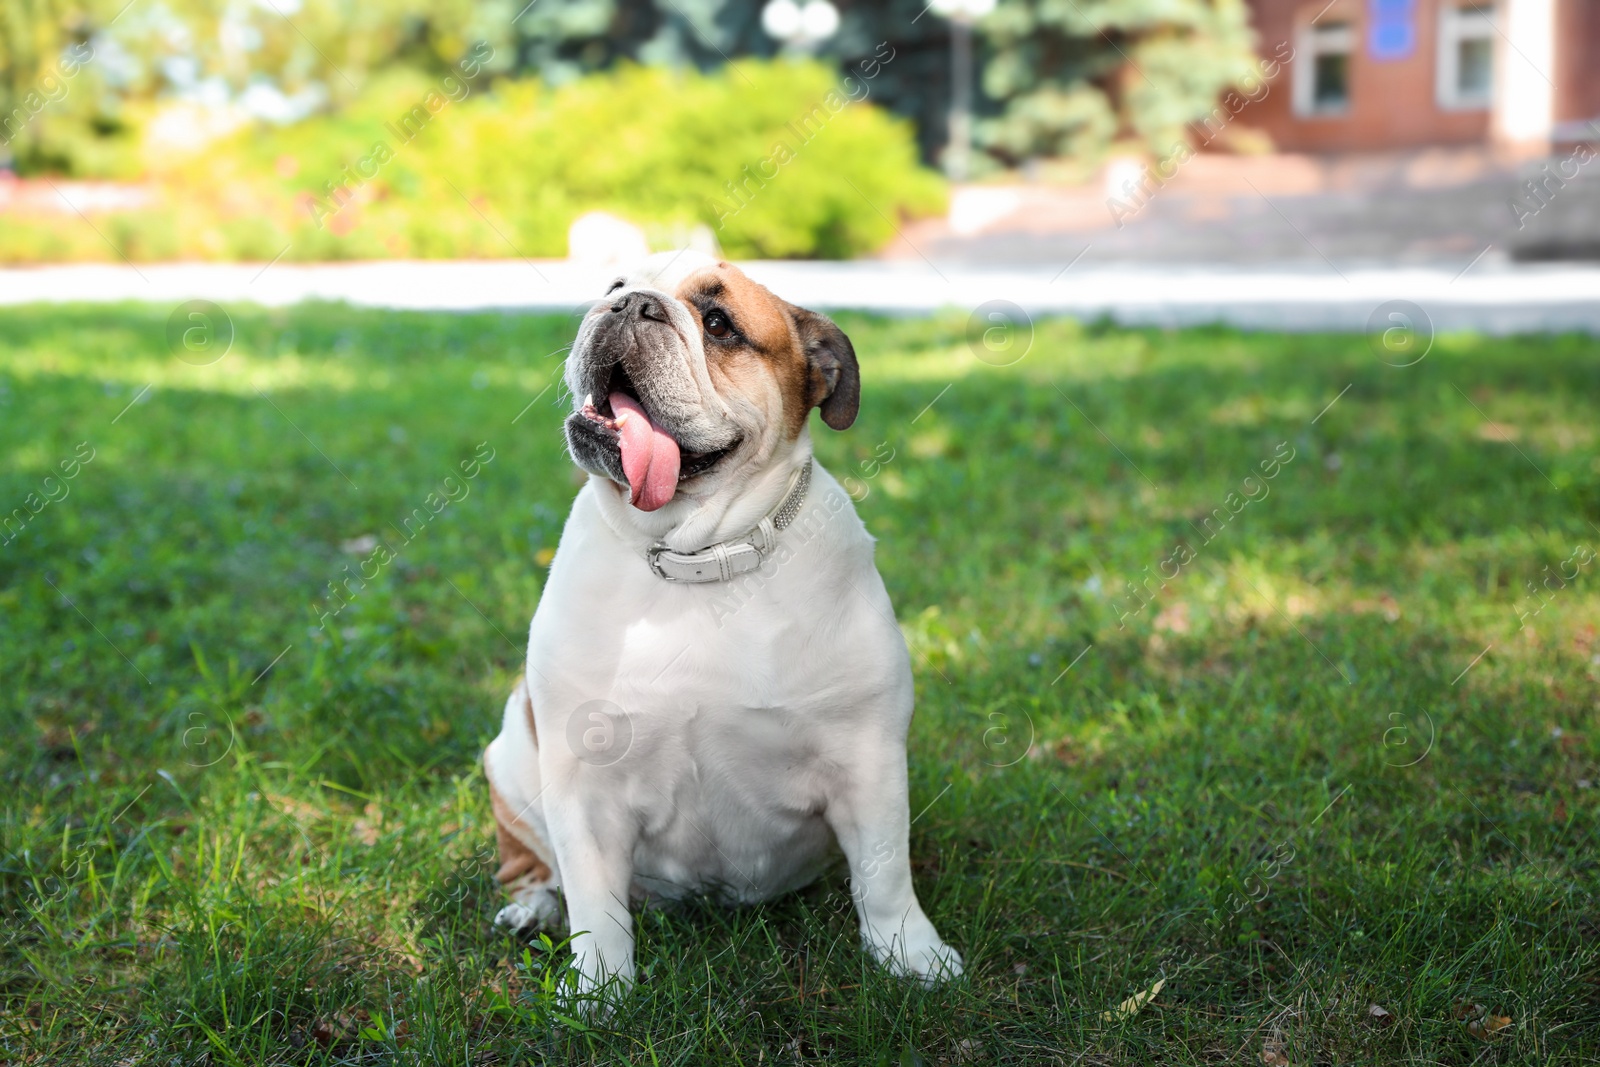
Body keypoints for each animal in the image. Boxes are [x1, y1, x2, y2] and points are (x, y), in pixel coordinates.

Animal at [483, 251, 960, 1004]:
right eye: (615, 286)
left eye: (717, 323)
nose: (630, 306)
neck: (696, 557)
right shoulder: (584, 787)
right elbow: (594, 901)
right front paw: (599, 991)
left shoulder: (869, 761)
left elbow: (885, 875)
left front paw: (912, 956)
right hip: (507, 760)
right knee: (533, 866)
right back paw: (532, 908)